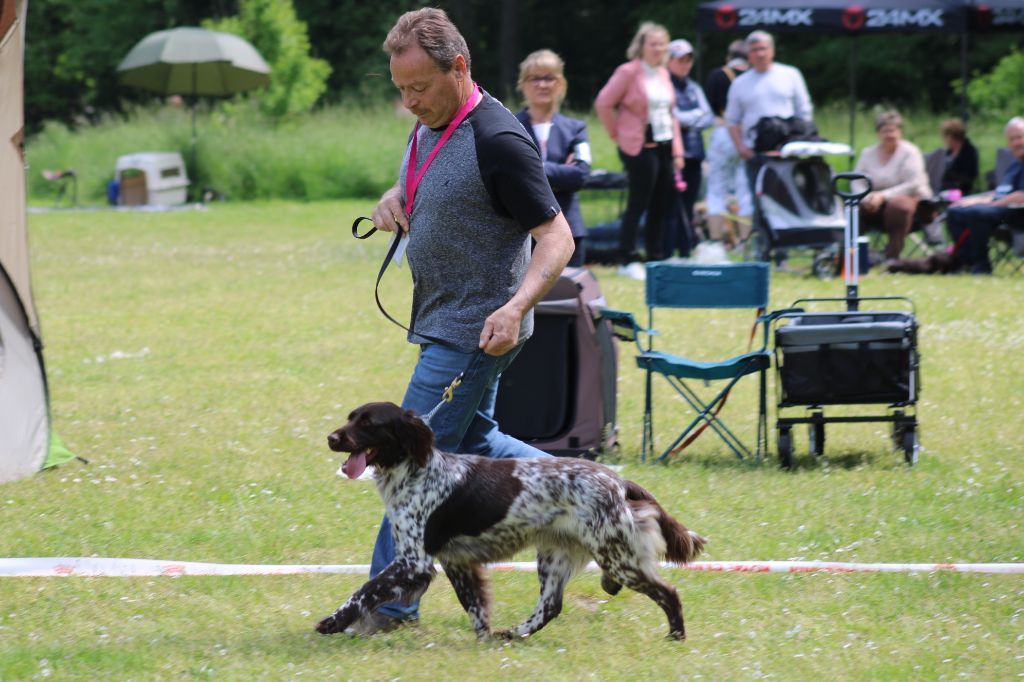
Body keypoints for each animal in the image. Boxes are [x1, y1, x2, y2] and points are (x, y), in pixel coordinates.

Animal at [319, 399, 704, 638]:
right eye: (351, 417)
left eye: (369, 423)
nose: (331, 437)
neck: (415, 471)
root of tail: (618, 481)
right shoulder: (456, 561)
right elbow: (476, 608)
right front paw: (485, 641)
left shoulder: (415, 561)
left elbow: (365, 590)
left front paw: (333, 621)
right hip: (556, 555)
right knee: (550, 607)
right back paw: (516, 634)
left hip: (616, 555)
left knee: (668, 592)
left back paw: (676, 636)